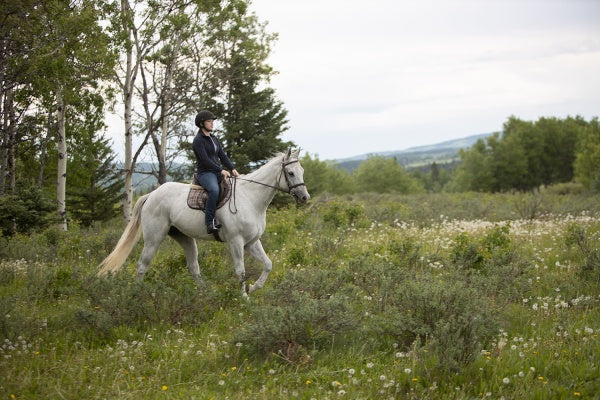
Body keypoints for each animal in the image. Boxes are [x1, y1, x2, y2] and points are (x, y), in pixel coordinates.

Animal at [98, 149, 310, 296]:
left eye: (302, 170)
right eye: (291, 173)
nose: (305, 197)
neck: (250, 197)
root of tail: (151, 195)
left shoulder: (251, 242)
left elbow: (268, 264)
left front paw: (252, 288)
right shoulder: (236, 242)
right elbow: (240, 270)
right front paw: (244, 298)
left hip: (184, 238)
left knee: (193, 268)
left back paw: (205, 293)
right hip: (154, 238)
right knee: (143, 265)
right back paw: (138, 294)